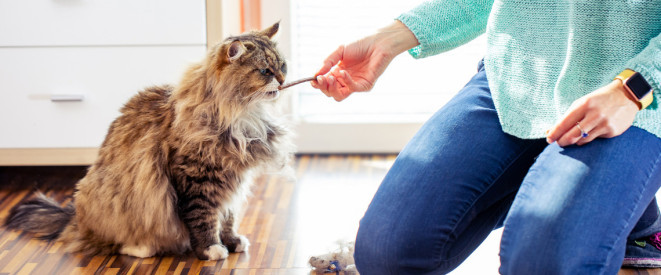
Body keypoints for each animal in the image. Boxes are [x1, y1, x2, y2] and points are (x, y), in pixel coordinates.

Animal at [2, 22, 292, 262]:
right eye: (265, 71)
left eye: (283, 66)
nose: (282, 80)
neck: (242, 114)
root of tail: (76, 218)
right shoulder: (196, 180)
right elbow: (204, 219)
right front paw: (211, 249)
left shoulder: (234, 180)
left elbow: (228, 217)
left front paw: (232, 242)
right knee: (114, 243)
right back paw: (141, 247)